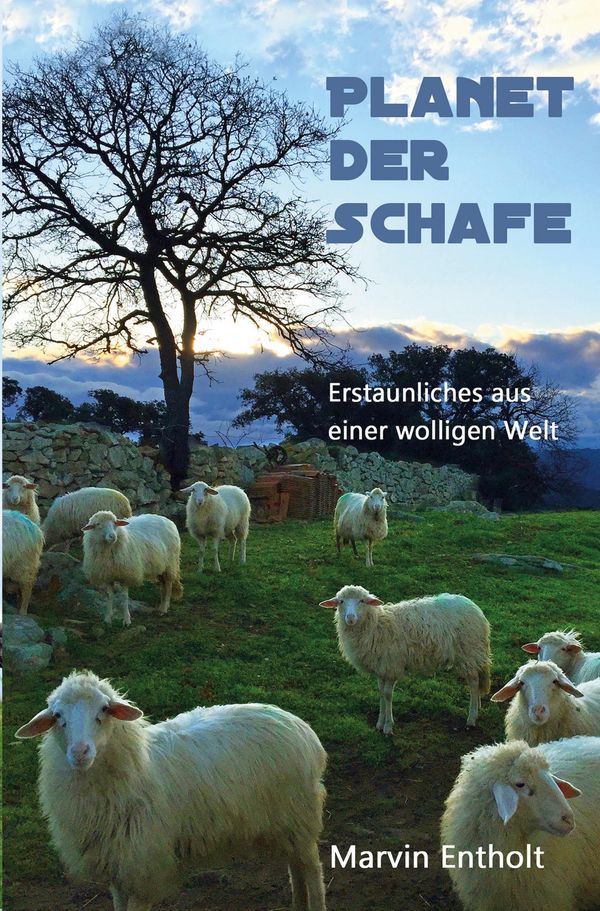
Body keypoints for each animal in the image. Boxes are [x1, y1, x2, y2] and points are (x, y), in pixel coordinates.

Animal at [16, 670, 328, 911]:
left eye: (104, 710)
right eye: (57, 715)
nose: (80, 752)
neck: (137, 769)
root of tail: (300, 725)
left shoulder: (144, 867)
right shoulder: (118, 867)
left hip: (300, 815)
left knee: (312, 869)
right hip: (284, 823)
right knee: (295, 867)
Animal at [319, 584, 491, 733]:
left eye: (362, 600)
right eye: (341, 601)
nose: (350, 618)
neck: (376, 625)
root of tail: (475, 608)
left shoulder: (391, 666)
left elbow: (387, 695)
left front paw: (388, 726)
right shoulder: (380, 667)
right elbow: (380, 692)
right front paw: (379, 723)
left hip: (469, 652)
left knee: (473, 682)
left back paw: (471, 717)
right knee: (476, 680)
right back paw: (477, 706)